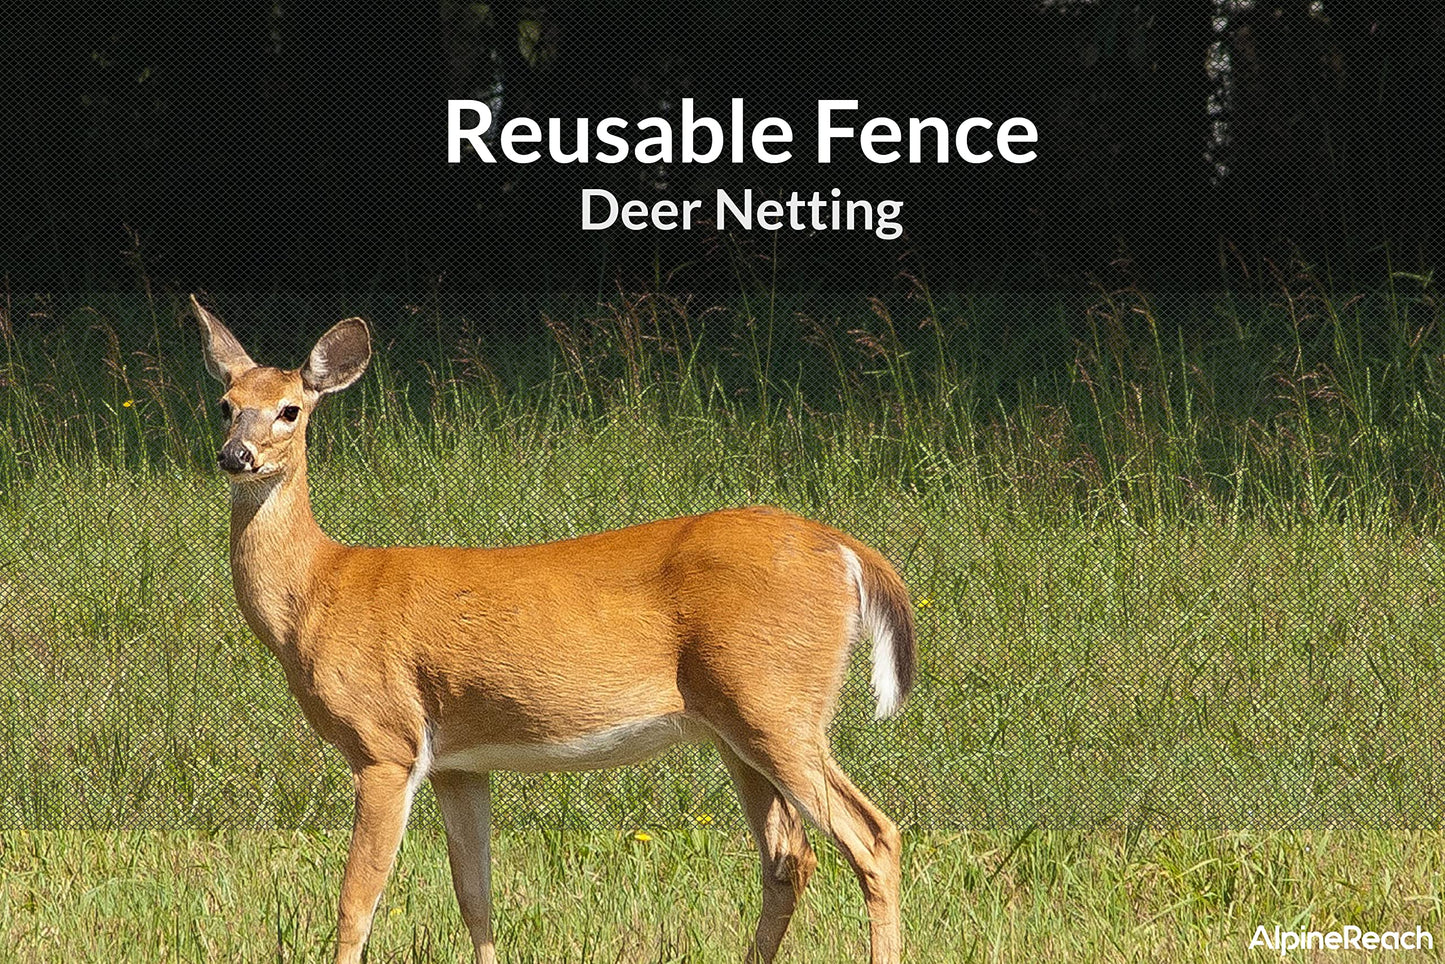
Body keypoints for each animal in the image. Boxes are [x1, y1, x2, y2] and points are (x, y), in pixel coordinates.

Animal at [192, 295, 917, 964]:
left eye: (290, 409)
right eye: (225, 404)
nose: (235, 455)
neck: (319, 592)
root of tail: (848, 551)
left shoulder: (385, 742)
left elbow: (356, 901)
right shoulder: (458, 762)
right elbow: (474, 895)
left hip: (775, 701)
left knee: (873, 837)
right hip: (737, 725)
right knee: (788, 857)